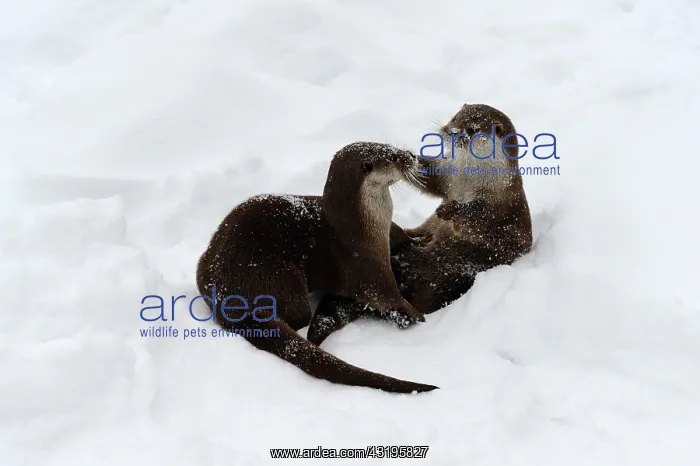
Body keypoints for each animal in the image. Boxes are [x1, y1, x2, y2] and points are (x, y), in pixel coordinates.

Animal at [196, 142, 437, 394]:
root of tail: (227, 297)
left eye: (390, 146)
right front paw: (416, 315)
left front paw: (418, 237)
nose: (412, 156)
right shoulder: (365, 261)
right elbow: (384, 295)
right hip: (279, 278)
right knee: (298, 316)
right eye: (393, 157)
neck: (361, 225)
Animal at [307, 104, 533, 345]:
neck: (467, 181)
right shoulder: (448, 176)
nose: (449, 130)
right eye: (455, 117)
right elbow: (430, 178)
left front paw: (451, 209)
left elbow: (480, 218)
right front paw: (413, 159)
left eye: (472, 129)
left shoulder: (502, 206)